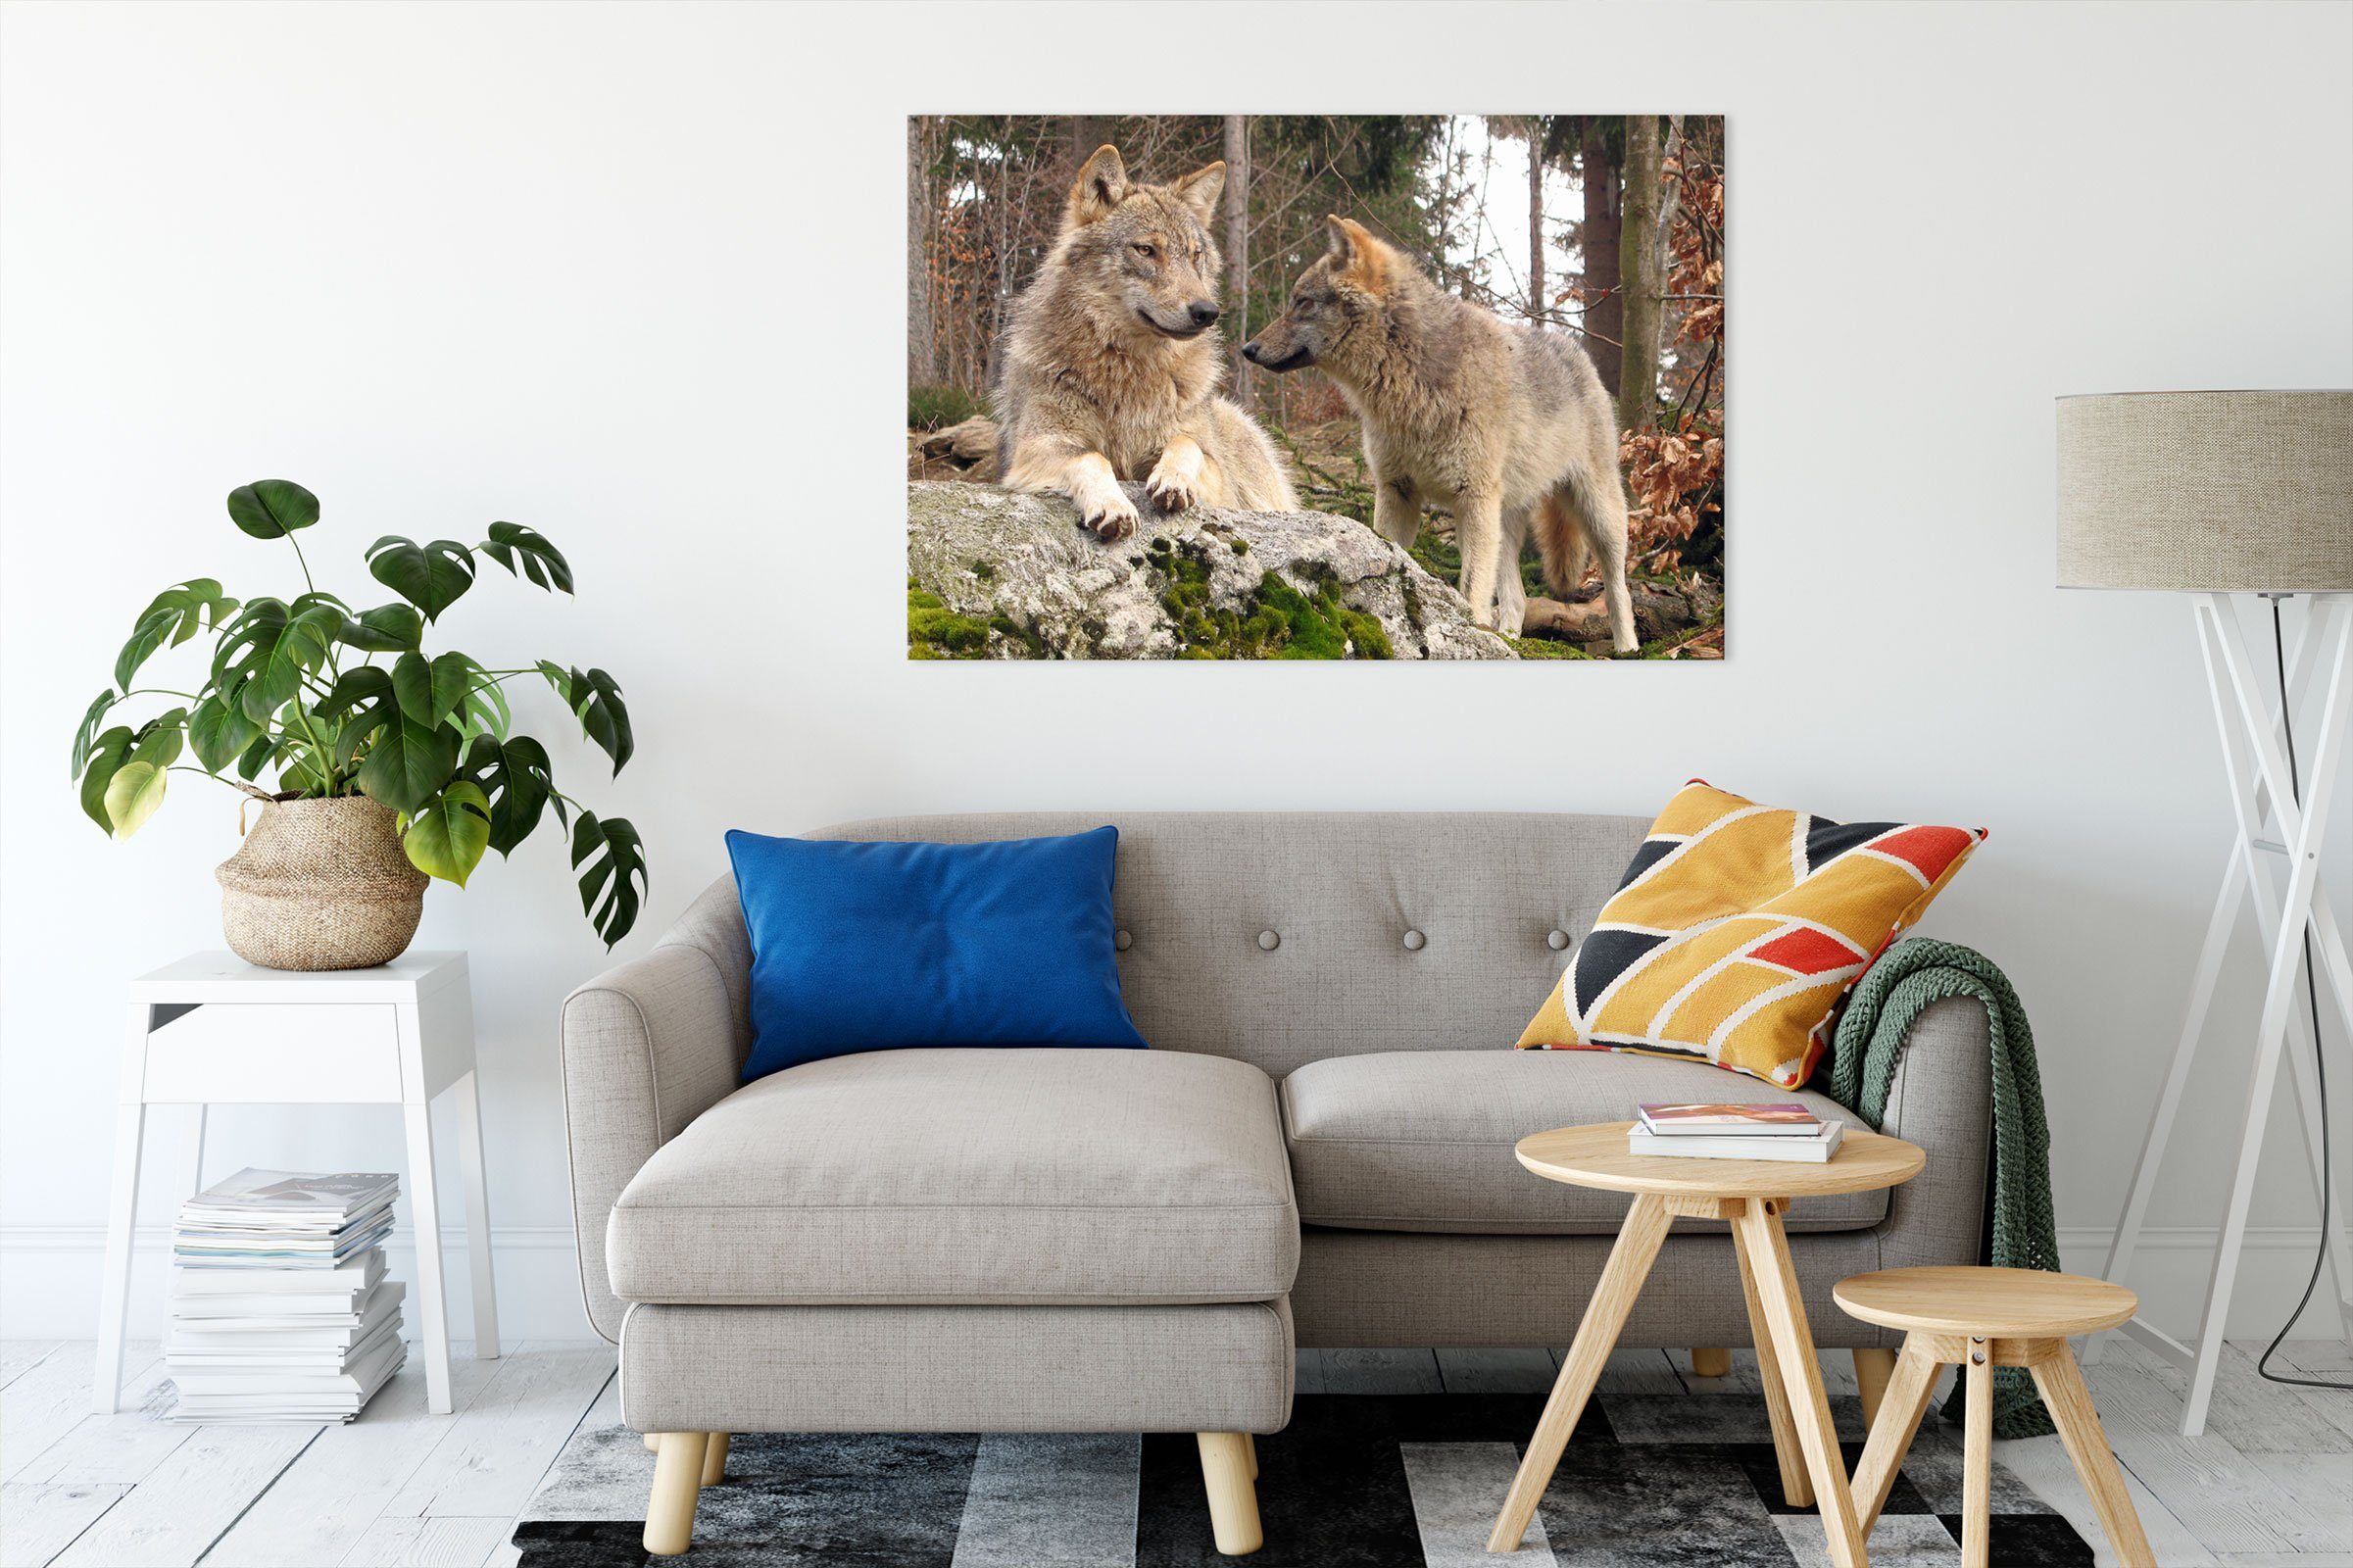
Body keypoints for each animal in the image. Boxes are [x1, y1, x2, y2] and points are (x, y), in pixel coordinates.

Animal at [993, 145, 1296, 540]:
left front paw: (1173, 480)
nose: (1207, 312)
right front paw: (1112, 503)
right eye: (1147, 250)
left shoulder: (1215, 473)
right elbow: (1092, 457)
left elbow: (1187, 443)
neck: (1128, 367)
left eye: (1195, 255)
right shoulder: (1035, 448)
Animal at [1242, 216, 1638, 651]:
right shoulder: (1396, 491)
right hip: (1504, 524)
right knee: (1516, 598)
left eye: (1302, 302)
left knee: (1618, 589)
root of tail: (1579, 353)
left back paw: (1627, 648)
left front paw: (1471, 633)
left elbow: (1471, 588)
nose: (1247, 348)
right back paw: (1508, 638)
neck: (1408, 383)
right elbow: (1392, 554)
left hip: (1597, 516)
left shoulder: (1473, 499)